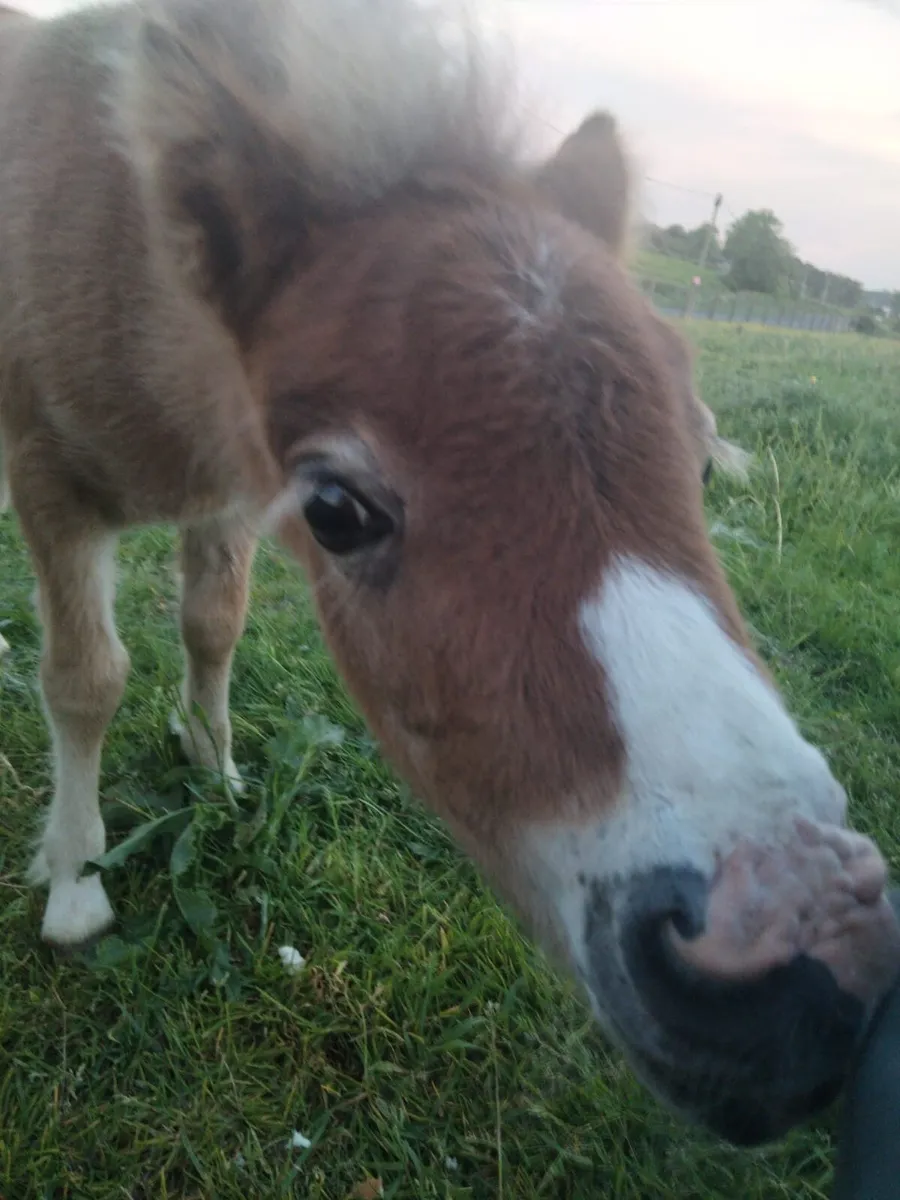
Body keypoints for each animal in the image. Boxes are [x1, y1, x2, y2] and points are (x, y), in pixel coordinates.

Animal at [1, 0, 896, 1149]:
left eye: (698, 460)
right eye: (337, 511)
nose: (798, 973)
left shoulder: (232, 492)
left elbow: (215, 621)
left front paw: (216, 765)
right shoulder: (49, 478)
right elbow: (86, 680)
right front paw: (74, 881)